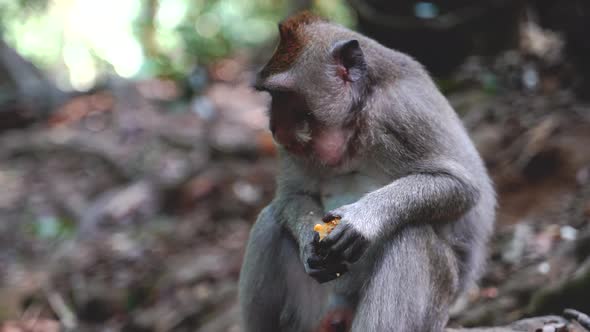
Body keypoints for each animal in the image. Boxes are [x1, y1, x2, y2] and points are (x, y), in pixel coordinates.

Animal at [238, 11, 498, 332]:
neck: (355, 122)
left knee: (412, 235)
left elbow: (463, 186)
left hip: (437, 308)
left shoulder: (402, 113)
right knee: (270, 222)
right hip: (316, 311)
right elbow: (292, 195)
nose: (273, 127)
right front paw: (309, 242)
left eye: (283, 95)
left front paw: (364, 218)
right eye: (271, 96)